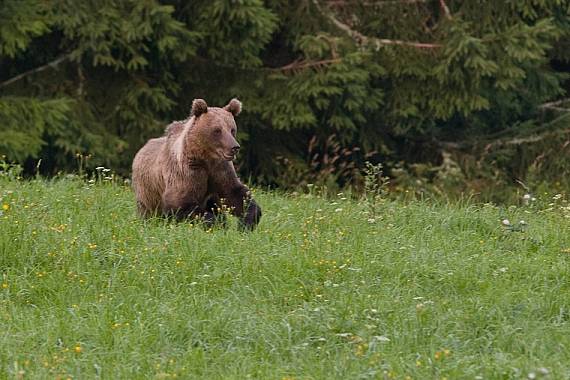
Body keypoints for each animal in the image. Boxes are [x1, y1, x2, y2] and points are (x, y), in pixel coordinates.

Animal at [130, 96, 260, 230]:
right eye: (217, 130)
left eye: (232, 129)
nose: (235, 147)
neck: (206, 157)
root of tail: (142, 149)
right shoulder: (188, 171)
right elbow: (180, 203)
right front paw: (216, 224)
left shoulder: (220, 169)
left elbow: (235, 193)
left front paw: (246, 222)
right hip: (147, 192)